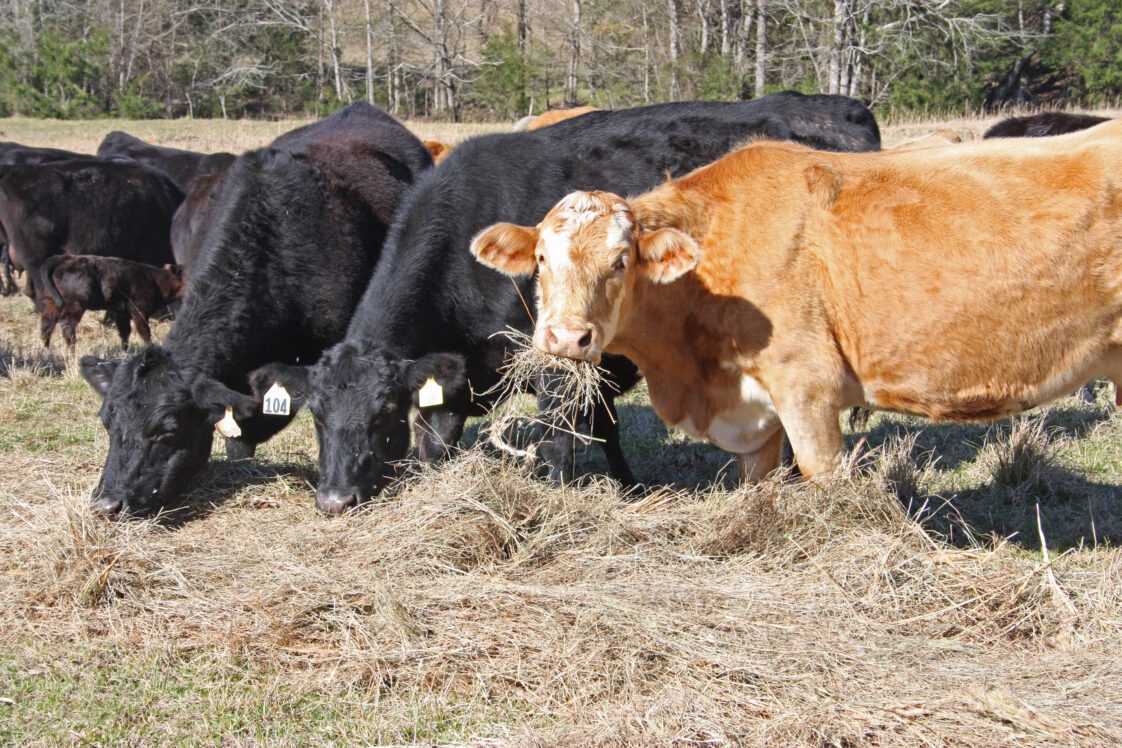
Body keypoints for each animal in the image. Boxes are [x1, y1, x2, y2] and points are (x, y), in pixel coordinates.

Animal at [38, 255, 186, 349]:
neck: (157, 281)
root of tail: (66, 259)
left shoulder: (121, 313)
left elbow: (125, 333)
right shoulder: (139, 311)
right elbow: (145, 333)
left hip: (52, 303)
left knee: (47, 325)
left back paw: (47, 351)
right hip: (76, 305)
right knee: (67, 325)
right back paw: (72, 351)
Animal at [250, 91, 883, 514]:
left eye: (382, 413)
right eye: (315, 414)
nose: (334, 500)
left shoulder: (561, 363)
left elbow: (559, 445)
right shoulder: (452, 380)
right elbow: (439, 449)